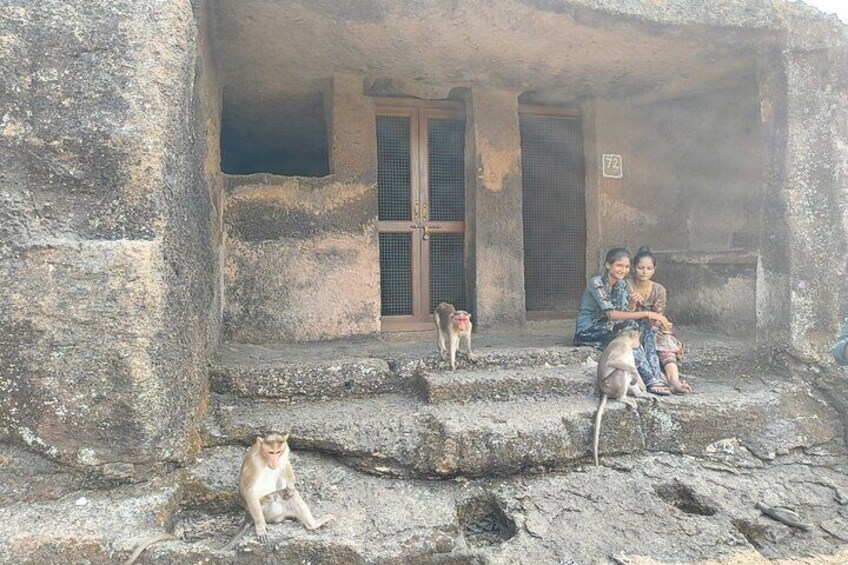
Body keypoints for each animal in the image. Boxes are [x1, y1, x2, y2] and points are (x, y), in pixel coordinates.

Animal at [592, 328, 652, 464]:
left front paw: (644, 389)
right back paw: (623, 398)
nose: (639, 344)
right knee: (622, 371)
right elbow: (614, 363)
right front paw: (636, 378)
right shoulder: (622, 349)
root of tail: (603, 390)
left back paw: (640, 394)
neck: (623, 339)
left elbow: (633, 369)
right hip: (611, 384)